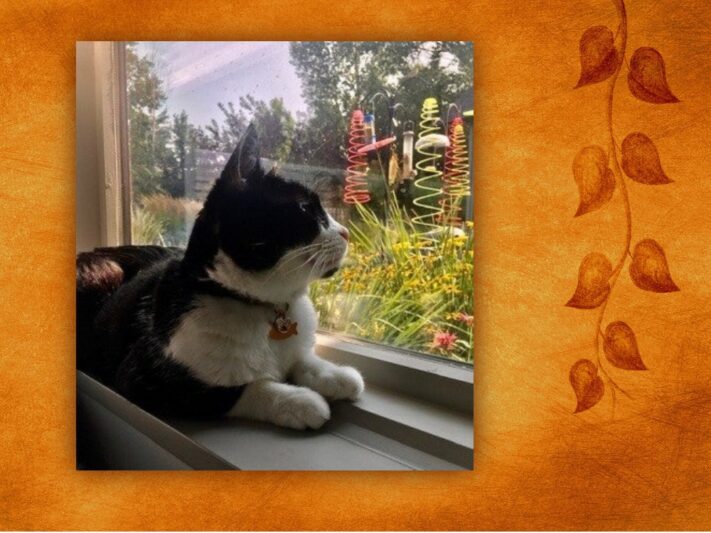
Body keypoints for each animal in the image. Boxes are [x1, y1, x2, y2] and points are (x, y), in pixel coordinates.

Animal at [76, 123, 368, 428]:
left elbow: (302, 360)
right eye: (304, 209)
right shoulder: (143, 380)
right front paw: (301, 402)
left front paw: (337, 376)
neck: (262, 307)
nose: (346, 232)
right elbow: (237, 391)